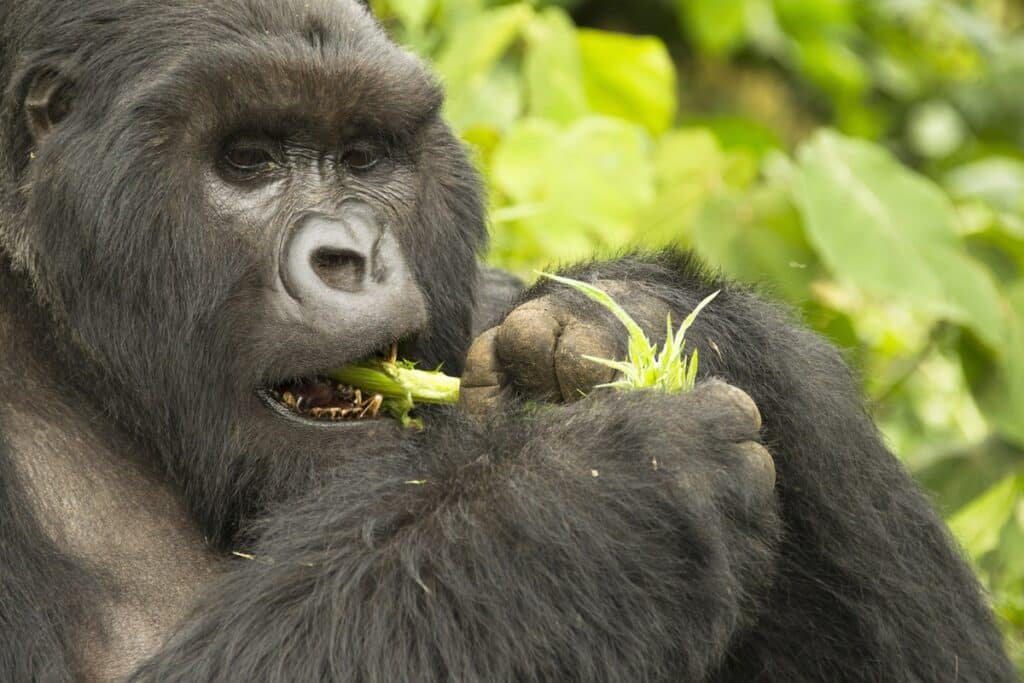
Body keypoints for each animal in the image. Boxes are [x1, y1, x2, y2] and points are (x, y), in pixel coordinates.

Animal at [0, 0, 1015, 679]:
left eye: (364, 156)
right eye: (246, 160)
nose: (352, 256)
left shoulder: (476, 302)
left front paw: (630, 320)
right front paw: (590, 501)